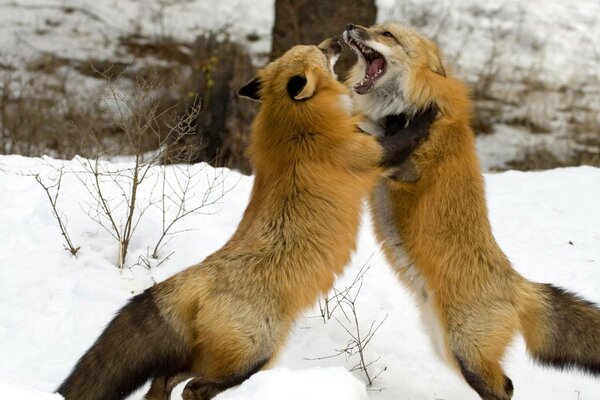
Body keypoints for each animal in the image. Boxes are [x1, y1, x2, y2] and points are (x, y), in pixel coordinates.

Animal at [57, 36, 432, 400]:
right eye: (321, 51)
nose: (337, 39)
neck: (295, 129)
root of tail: (193, 278)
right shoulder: (368, 154)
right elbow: (405, 137)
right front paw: (424, 113)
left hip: (208, 356)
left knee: (162, 382)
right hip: (256, 353)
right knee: (194, 388)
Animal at [342, 21, 600, 400]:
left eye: (387, 35)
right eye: (375, 28)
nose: (350, 26)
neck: (408, 107)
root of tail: (517, 284)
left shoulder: (404, 170)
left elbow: (373, 136)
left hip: (465, 352)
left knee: (504, 388)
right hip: (445, 347)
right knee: (505, 384)